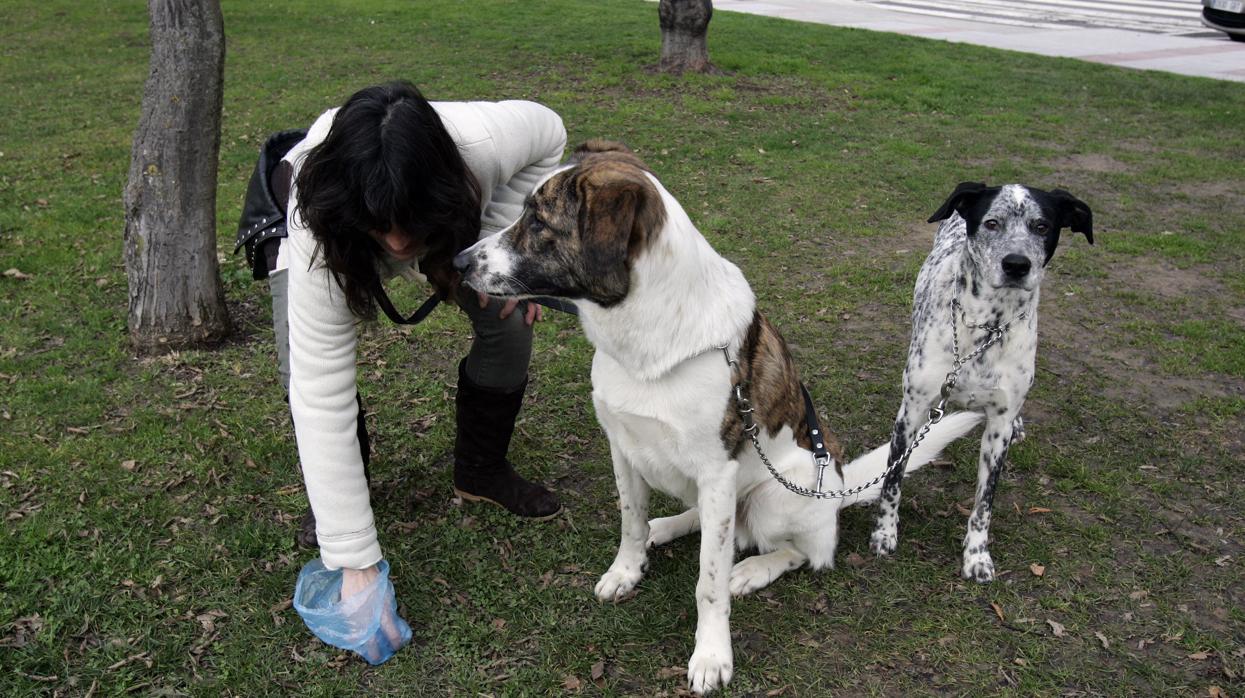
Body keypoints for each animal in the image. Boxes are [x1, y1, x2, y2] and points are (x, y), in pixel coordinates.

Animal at [455, 144, 981, 691]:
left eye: (538, 220)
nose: (458, 262)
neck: (647, 335)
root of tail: (836, 489)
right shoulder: (623, 448)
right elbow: (630, 521)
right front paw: (628, 568)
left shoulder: (718, 470)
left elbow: (709, 583)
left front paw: (711, 654)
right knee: (713, 526)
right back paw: (667, 527)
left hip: (776, 494)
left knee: (805, 552)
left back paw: (752, 569)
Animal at [871, 180, 1095, 582]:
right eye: (992, 223)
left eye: (1042, 226)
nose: (1017, 264)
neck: (987, 327)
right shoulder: (911, 414)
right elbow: (892, 482)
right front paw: (884, 534)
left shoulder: (997, 430)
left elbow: (984, 502)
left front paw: (977, 556)